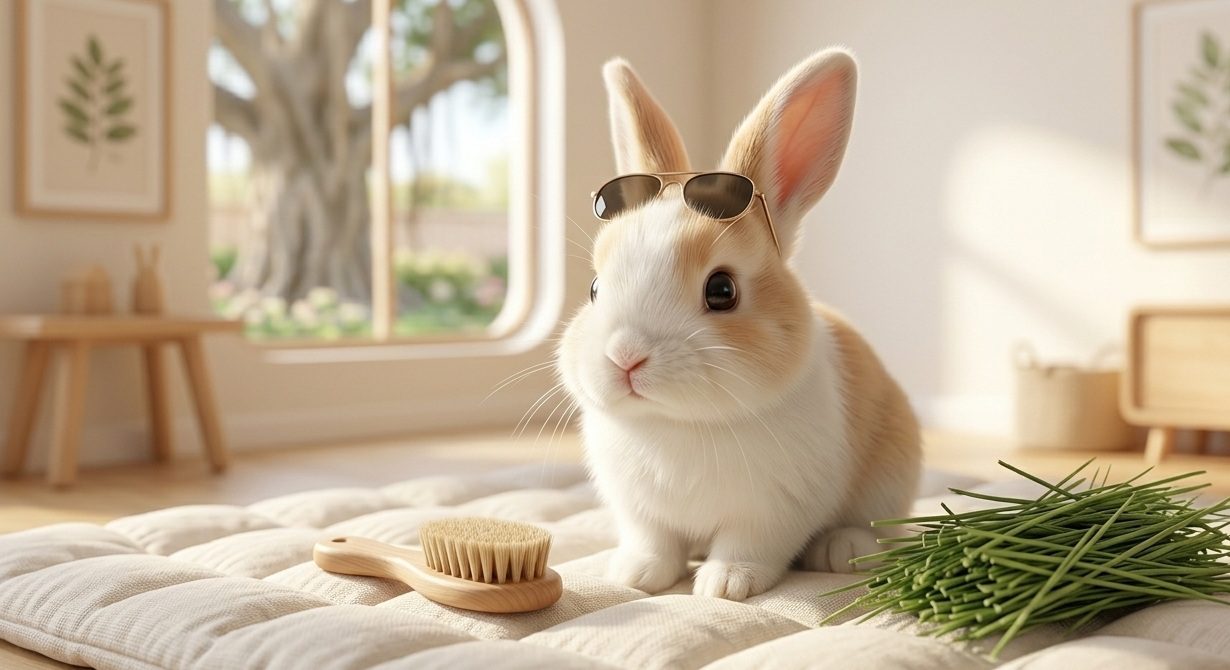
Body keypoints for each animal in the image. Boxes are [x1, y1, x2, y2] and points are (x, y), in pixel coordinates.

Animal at [555, 48, 922, 601]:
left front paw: (725, 585)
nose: (625, 357)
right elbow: (653, 542)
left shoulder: (772, 512)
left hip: (889, 477)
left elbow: (746, 546)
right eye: (596, 289)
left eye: (722, 290)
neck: (678, 424)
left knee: (876, 527)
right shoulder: (640, 511)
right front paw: (635, 575)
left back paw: (842, 550)